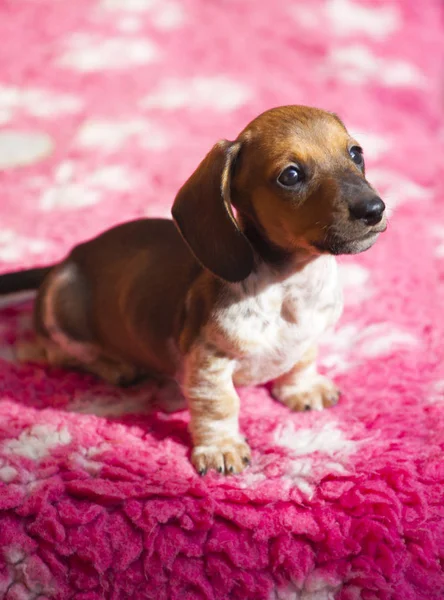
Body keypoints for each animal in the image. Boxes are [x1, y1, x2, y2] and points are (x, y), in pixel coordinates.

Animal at [0, 106, 386, 474]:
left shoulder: (309, 335)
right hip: (60, 311)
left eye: (355, 153)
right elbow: (220, 405)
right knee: (54, 352)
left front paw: (302, 389)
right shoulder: (207, 361)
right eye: (290, 176)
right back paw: (115, 366)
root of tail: (67, 258)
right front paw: (220, 448)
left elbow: (302, 360)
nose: (374, 208)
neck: (290, 286)